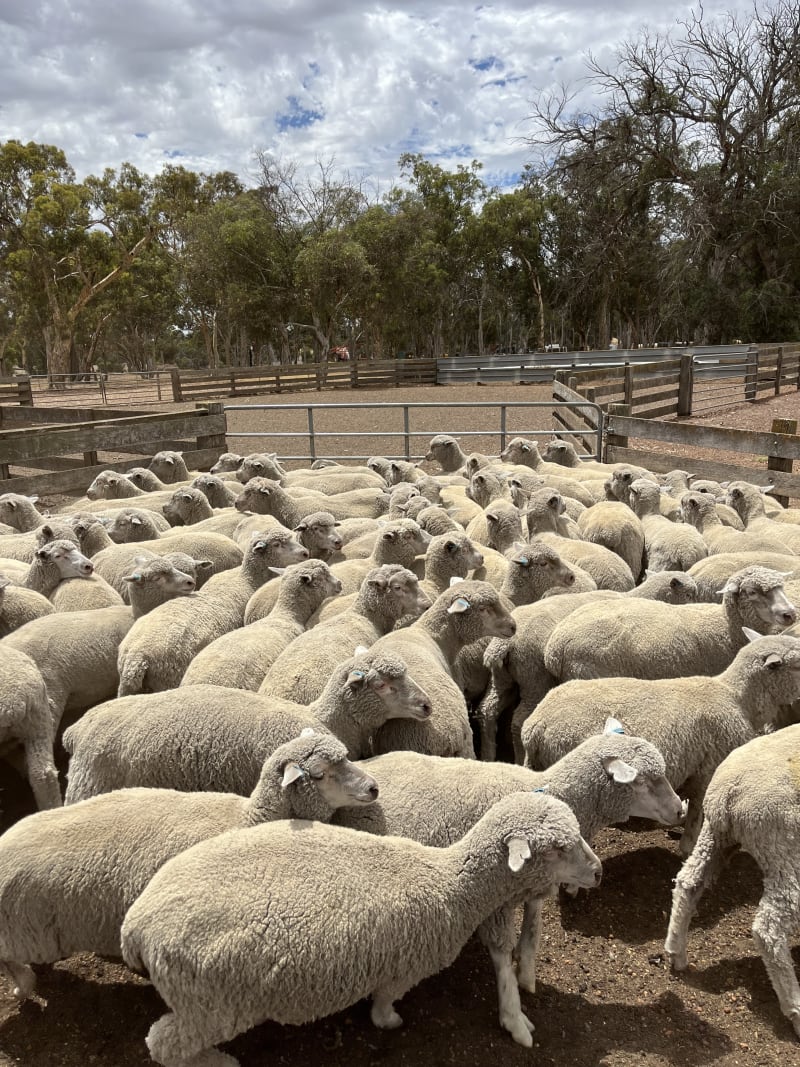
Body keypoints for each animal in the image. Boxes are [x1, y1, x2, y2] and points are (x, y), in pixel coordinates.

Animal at [0, 732, 378, 1003]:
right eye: (321, 774)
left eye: (347, 757)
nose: (374, 787)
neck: (247, 819)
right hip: (19, 928)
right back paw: (23, 985)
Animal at [120, 791, 599, 1066]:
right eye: (556, 849)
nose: (596, 872)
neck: (451, 884)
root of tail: (136, 926)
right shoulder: (405, 968)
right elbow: (383, 1003)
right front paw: (389, 1022)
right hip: (211, 1003)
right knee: (163, 1045)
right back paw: (217, 1062)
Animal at [335, 728, 680, 1044]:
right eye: (641, 782)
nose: (681, 810)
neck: (545, 787)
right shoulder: (495, 897)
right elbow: (502, 954)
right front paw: (514, 1017)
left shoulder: (532, 881)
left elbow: (533, 929)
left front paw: (526, 971)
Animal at [522, 631, 800, 855]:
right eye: (798, 664)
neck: (737, 698)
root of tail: (535, 726)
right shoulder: (707, 770)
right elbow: (696, 814)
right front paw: (688, 846)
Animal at [664, 724, 800, 1039]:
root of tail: (730, 790)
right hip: (783, 846)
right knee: (768, 928)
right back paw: (795, 1008)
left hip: (715, 833)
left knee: (688, 882)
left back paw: (676, 951)